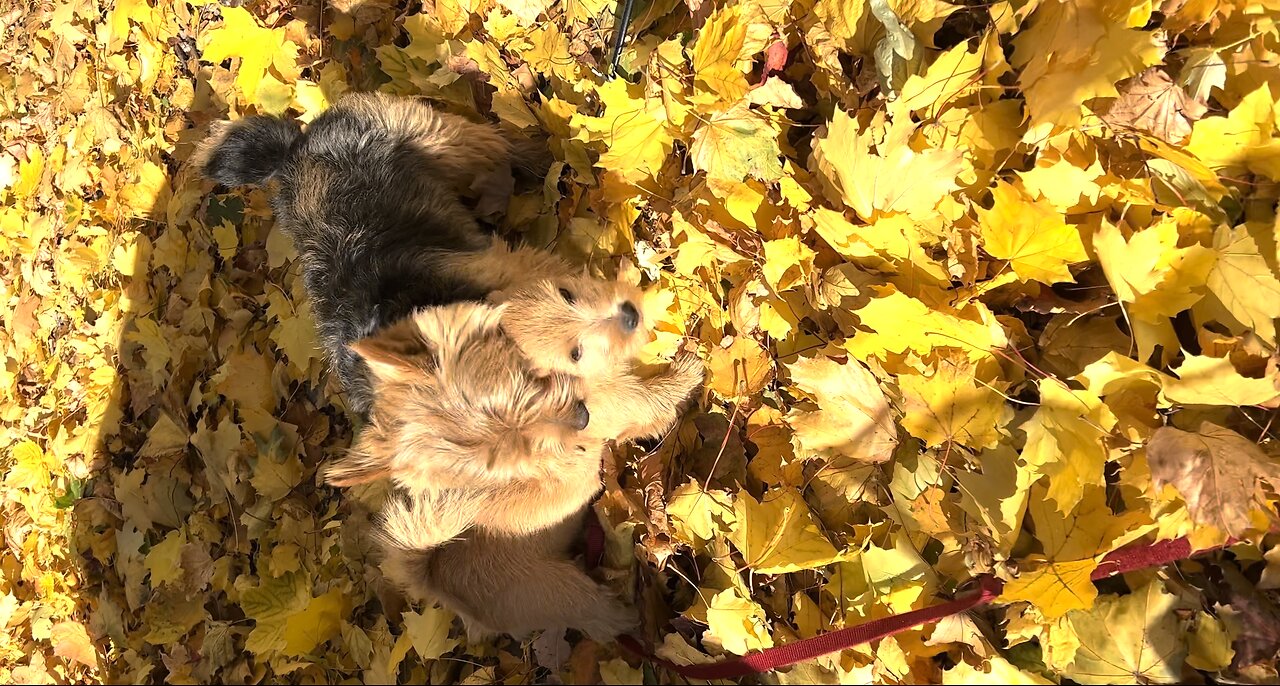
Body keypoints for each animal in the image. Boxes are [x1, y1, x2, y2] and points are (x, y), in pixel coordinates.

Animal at [200, 94, 706, 639]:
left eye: (527, 381)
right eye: (506, 461)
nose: (579, 422)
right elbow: (643, 397)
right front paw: (679, 368)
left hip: (434, 136)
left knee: (494, 147)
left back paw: (534, 155)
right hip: (567, 593)